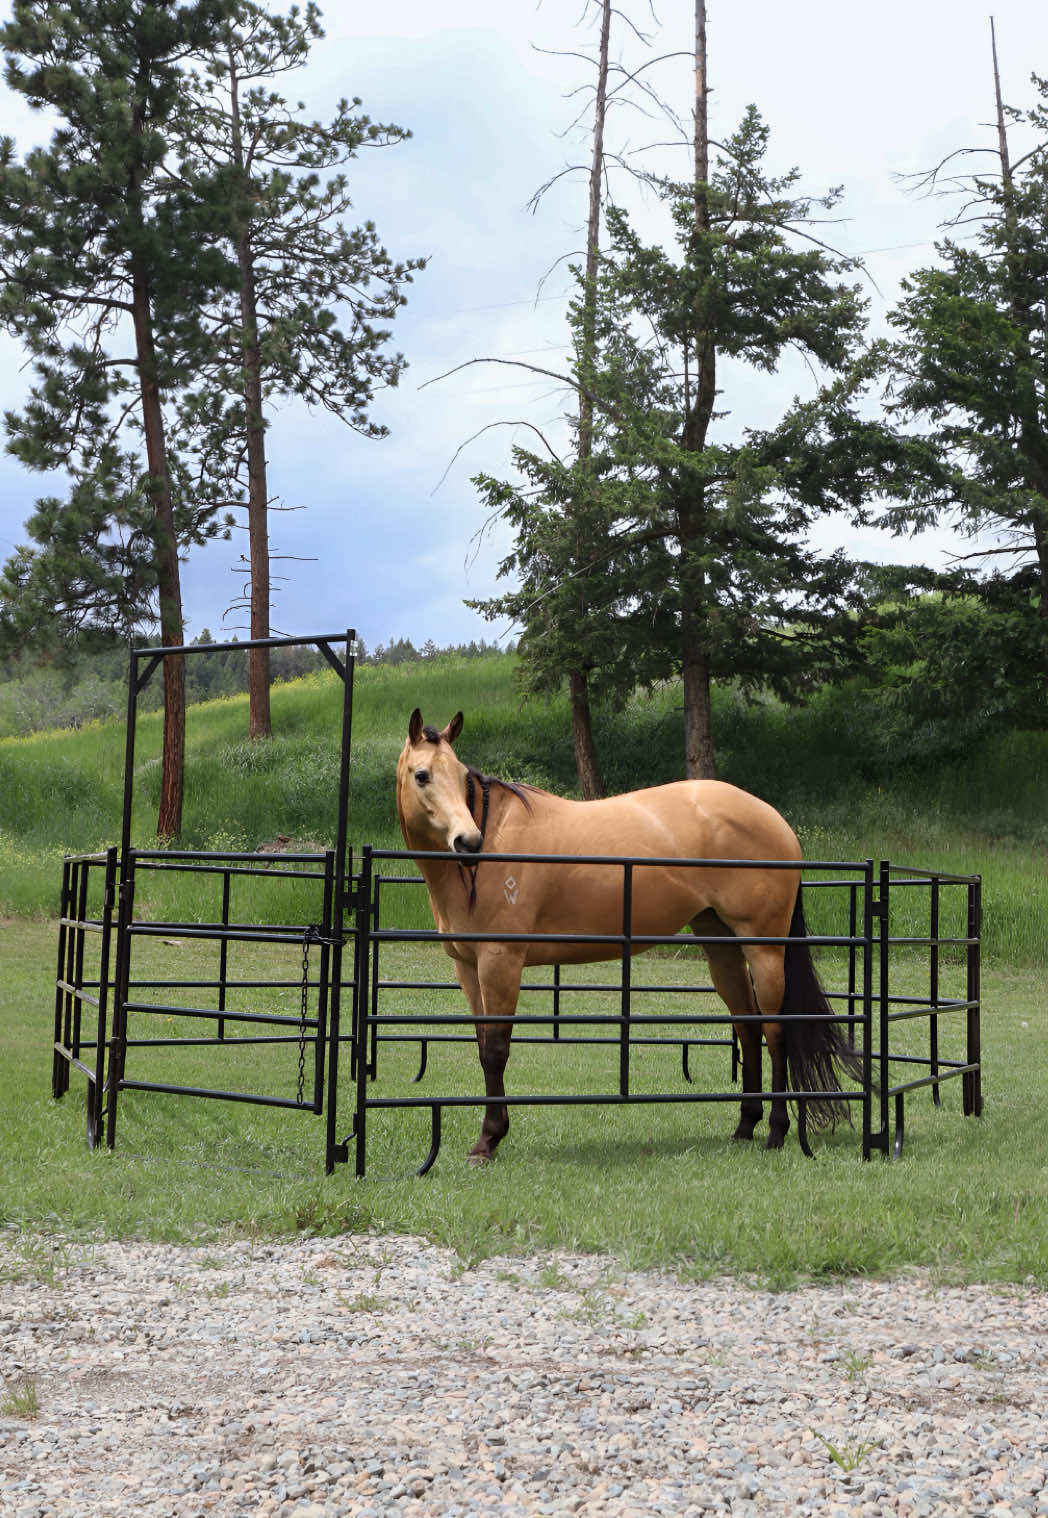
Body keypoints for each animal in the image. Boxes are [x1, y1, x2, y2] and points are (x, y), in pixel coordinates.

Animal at [396, 709, 863, 1162]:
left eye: (460, 775)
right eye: (422, 775)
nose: (467, 841)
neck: (492, 846)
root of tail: (776, 821)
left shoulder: (501, 962)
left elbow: (495, 1051)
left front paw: (489, 1140)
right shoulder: (468, 967)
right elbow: (481, 1048)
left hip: (764, 949)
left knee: (775, 1032)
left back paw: (777, 1133)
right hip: (722, 947)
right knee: (748, 1028)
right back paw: (745, 1126)